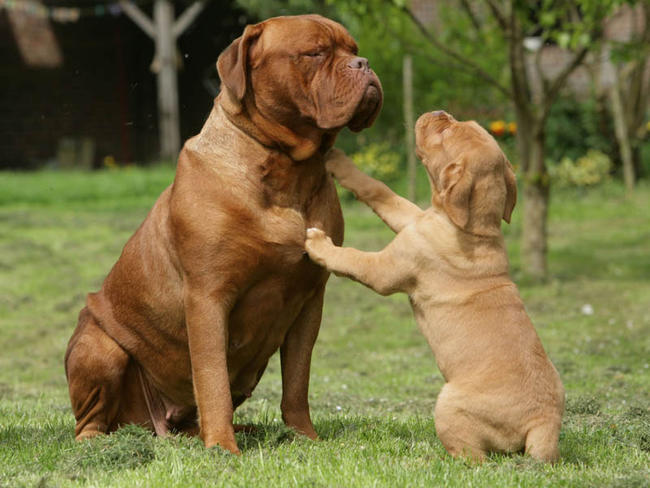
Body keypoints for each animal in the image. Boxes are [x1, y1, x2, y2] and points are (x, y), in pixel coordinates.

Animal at [62, 16, 380, 458]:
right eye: (315, 53)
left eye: (353, 49)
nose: (364, 64)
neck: (286, 169)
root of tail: (154, 425)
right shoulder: (208, 298)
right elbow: (212, 379)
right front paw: (223, 448)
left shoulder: (310, 302)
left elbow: (297, 382)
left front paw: (304, 437)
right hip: (98, 347)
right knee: (90, 421)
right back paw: (99, 443)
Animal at [304, 111, 560, 466]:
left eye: (446, 131)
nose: (438, 113)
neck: (473, 229)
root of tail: (544, 420)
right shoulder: (411, 218)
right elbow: (380, 192)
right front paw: (339, 161)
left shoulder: (385, 269)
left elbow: (352, 258)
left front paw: (319, 245)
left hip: (448, 404)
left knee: (474, 459)